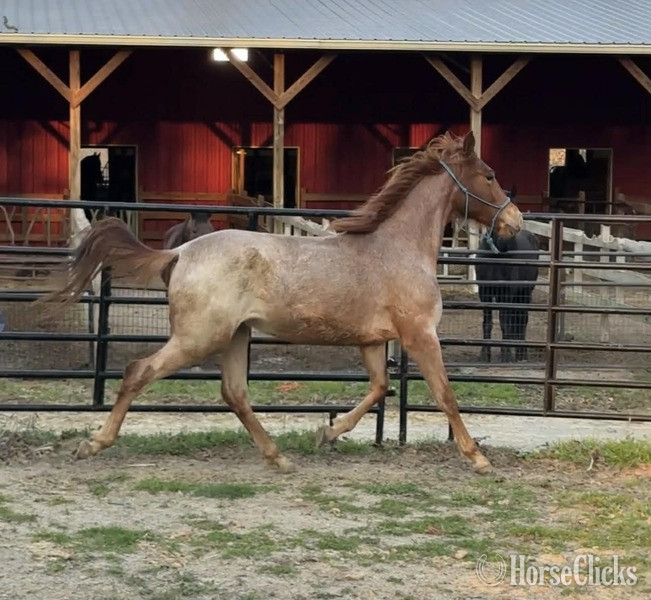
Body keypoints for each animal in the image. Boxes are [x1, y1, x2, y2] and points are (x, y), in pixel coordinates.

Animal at [40, 131, 523, 475]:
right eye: (490, 175)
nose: (515, 223)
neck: (396, 248)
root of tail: (180, 253)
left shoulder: (372, 341)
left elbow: (379, 388)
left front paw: (326, 433)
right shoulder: (420, 335)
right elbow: (445, 394)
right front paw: (477, 458)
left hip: (235, 336)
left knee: (234, 393)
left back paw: (278, 457)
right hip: (199, 337)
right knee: (140, 372)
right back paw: (94, 443)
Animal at [476, 230, 539, 363]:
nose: (504, 238)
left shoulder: (506, 294)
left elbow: (505, 324)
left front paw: (506, 355)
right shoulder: (484, 293)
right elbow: (487, 323)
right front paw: (485, 355)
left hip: (525, 293)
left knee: (522, 320)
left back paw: (521, 354)